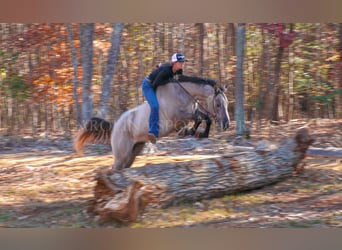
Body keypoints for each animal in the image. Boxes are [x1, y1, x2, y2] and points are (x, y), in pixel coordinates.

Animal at [74, 77, 230, 171]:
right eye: (218, 104)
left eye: (226, 103)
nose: (226, 124)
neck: (183, 93)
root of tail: (115, 125)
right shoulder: (177, 117)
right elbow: (197, 119)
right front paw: (190, 131)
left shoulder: (193, 111)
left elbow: (205, 118)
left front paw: (202, 134)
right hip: (121, 154)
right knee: (115, 169)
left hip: (133, 151)